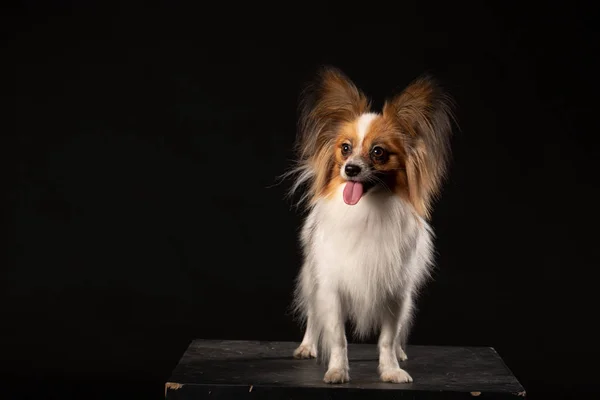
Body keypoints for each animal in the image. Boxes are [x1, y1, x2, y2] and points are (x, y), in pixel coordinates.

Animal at [286, 66, 454, 384]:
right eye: (345, 148)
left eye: (378, 152)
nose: (350, 169)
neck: (366, 210)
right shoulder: (331, 286)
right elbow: (338, 337)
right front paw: (337, 370)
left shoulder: (396, 291)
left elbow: (387, 337)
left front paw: (390, 369)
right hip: (313, 277)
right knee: (313, 313)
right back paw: (306, 346)